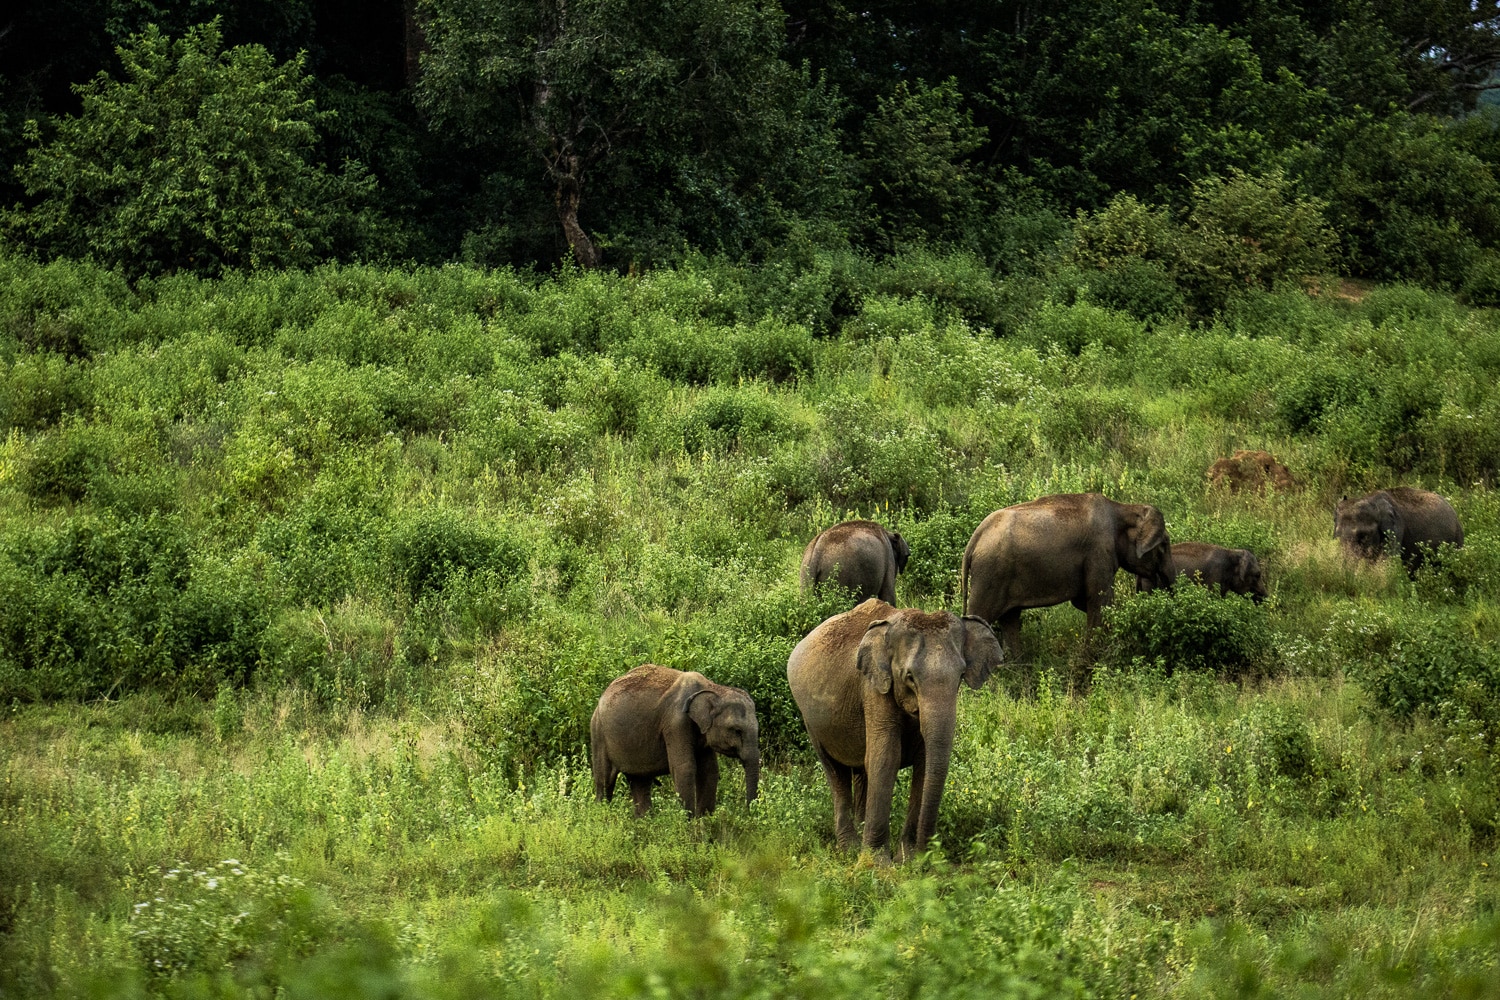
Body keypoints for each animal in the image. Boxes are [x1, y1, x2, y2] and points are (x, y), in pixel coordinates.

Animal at [588, 665, 762, 821]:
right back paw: (601, 817)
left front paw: (705, 821)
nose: (748, 815)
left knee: (640, 781)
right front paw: (688, 823)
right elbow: (684, 767)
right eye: (736, 730)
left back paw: (644, 823)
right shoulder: (675, 722)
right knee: (605, 780)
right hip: (598, 732)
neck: (713, 688)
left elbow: (710, 770)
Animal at [786, 599, 1008, 857]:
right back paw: (850, 848)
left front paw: (909, 857)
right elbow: (886, 757)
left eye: (962, 675)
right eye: (909, 676)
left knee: (862, 769)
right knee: (836, 771)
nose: (927, 851)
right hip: (810, 720)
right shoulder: (874, 686)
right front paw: (876, 861)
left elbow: (924, 762)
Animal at [960, 491, 1170, 656]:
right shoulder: (1099, 551)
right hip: (989, 574)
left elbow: (1084, 601)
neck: (1122, 508)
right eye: (1164, 545)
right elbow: (1099, 600)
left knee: (1010, 619)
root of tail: (974, 538)